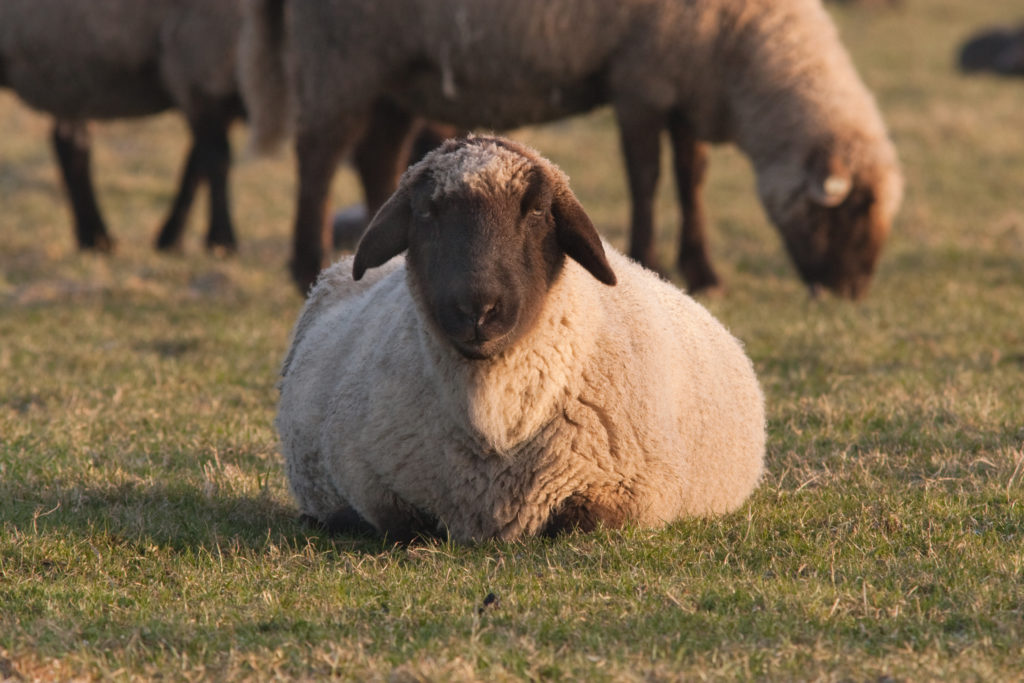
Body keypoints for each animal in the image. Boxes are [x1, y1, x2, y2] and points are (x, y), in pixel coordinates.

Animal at [0, 0, 243, 253]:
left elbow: (196, 163)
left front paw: (172, 238)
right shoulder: (197, 68)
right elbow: (216, 160)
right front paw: (222, 240)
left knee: (72, 144)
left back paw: (96, 237)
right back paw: (96, 237)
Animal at [241, 0, 905, 301]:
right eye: (847, 214)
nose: (851, 293)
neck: (738, 47)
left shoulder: (683, 85)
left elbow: (692, 176)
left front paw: (703, 271)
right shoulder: (641, 81)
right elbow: (647, 177)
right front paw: (651, 258)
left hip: (394, 72)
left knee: (378, 153)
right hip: (341, 51)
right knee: (318, 153)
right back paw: (304, 262)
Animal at [276, 136, 765, 544]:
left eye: (536, 210)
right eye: (427, 211)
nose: (477, 310)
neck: (495, 416)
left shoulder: (630, 492)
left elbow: (581, 523)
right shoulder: (375, 485)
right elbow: (409, 526)